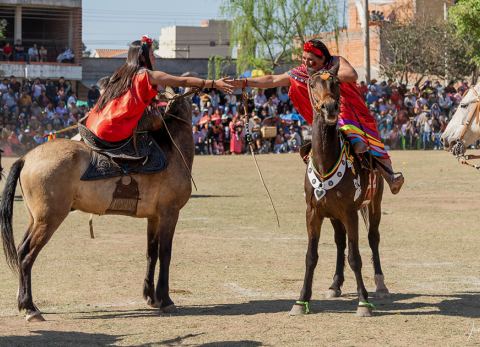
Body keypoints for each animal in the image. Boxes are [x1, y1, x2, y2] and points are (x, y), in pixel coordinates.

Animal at [1, 94, 194, 322]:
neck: (172, 150)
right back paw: (30, 308)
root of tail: (26, 158)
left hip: (36, 219)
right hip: (49, 219)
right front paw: (165, 300)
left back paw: (23, 303)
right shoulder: (169, 213)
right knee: (26, 255)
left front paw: (151, 297)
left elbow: (151, 253)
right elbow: (165, 254)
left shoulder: (154, 217)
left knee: (21, 250)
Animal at [288, 64, 390, 320]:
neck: (326, 162)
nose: (330, 107)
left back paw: (381, 284)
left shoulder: (350, 213)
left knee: (373, 238)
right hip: (334, 216)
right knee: (340, 242)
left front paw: (363, 302)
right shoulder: (313, 213)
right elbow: (311, 256)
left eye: (336, 83)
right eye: (312, 84)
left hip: (373, 205)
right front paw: (301, 300)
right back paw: (335, 284)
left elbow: (355, 256)